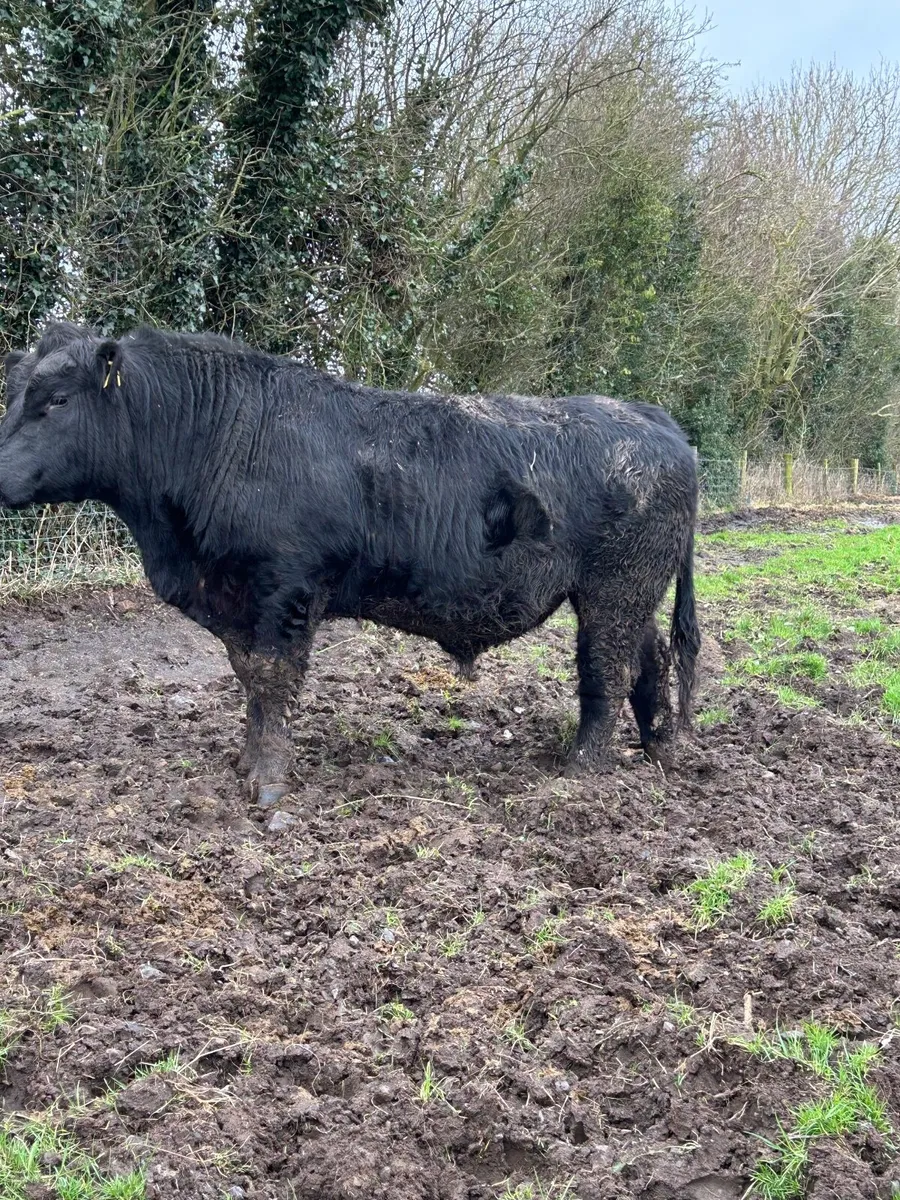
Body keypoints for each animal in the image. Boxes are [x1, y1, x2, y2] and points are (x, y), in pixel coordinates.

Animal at [0, 323, 700, 806]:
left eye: (56, 400)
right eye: (13, 395)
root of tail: (655, 420)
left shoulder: (285, 589)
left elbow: (272, 680)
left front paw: (268, 784)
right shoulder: (241, 602)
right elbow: (249, 680)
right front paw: (247, 765)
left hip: (615, 590)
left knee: (607, 669)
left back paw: (583, 772)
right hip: (630, 594)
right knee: (649, 661)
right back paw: (658, 749)